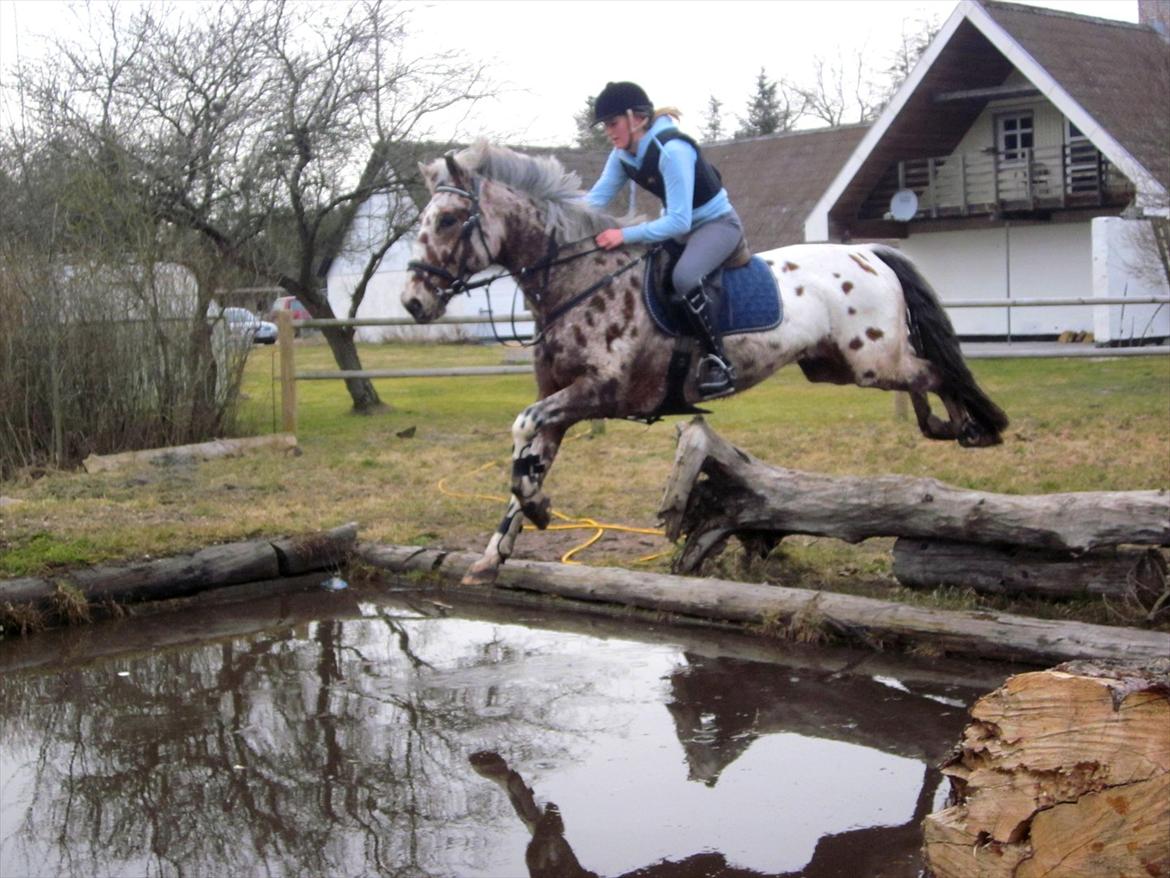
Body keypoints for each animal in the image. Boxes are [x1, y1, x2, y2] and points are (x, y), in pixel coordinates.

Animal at [402, 142, 1006, 585]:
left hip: (870, 360)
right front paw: (499, 548)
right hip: (835, 364)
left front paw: (539, 512)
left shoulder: (600, 392)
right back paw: (942, 425)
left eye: (451, 219)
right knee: (921, 373)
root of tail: (868, 252)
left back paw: (970, 427)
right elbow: (526, 459)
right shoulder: (560, 400)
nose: (412, 302)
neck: (580, 280)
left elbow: (522, 430)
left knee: (936, 370)